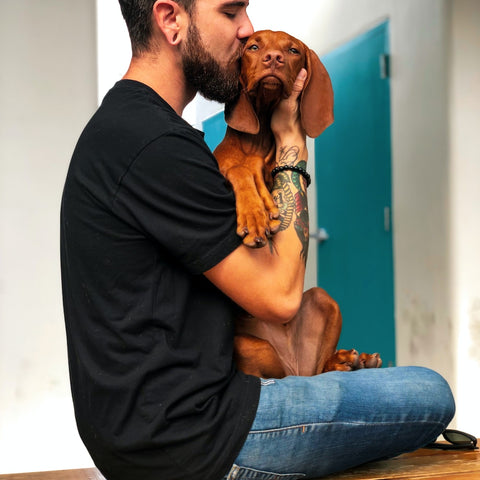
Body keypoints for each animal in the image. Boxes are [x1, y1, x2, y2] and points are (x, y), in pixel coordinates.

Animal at [214, 31, 382, 378]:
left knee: (318, 370)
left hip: (323, 299)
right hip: (252, 348)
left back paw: (350, 360)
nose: (274, 59)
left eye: (292, 50)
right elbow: (239, 169)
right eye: (254, 46)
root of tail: (292, 363)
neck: (261, 136)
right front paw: (254, 214)